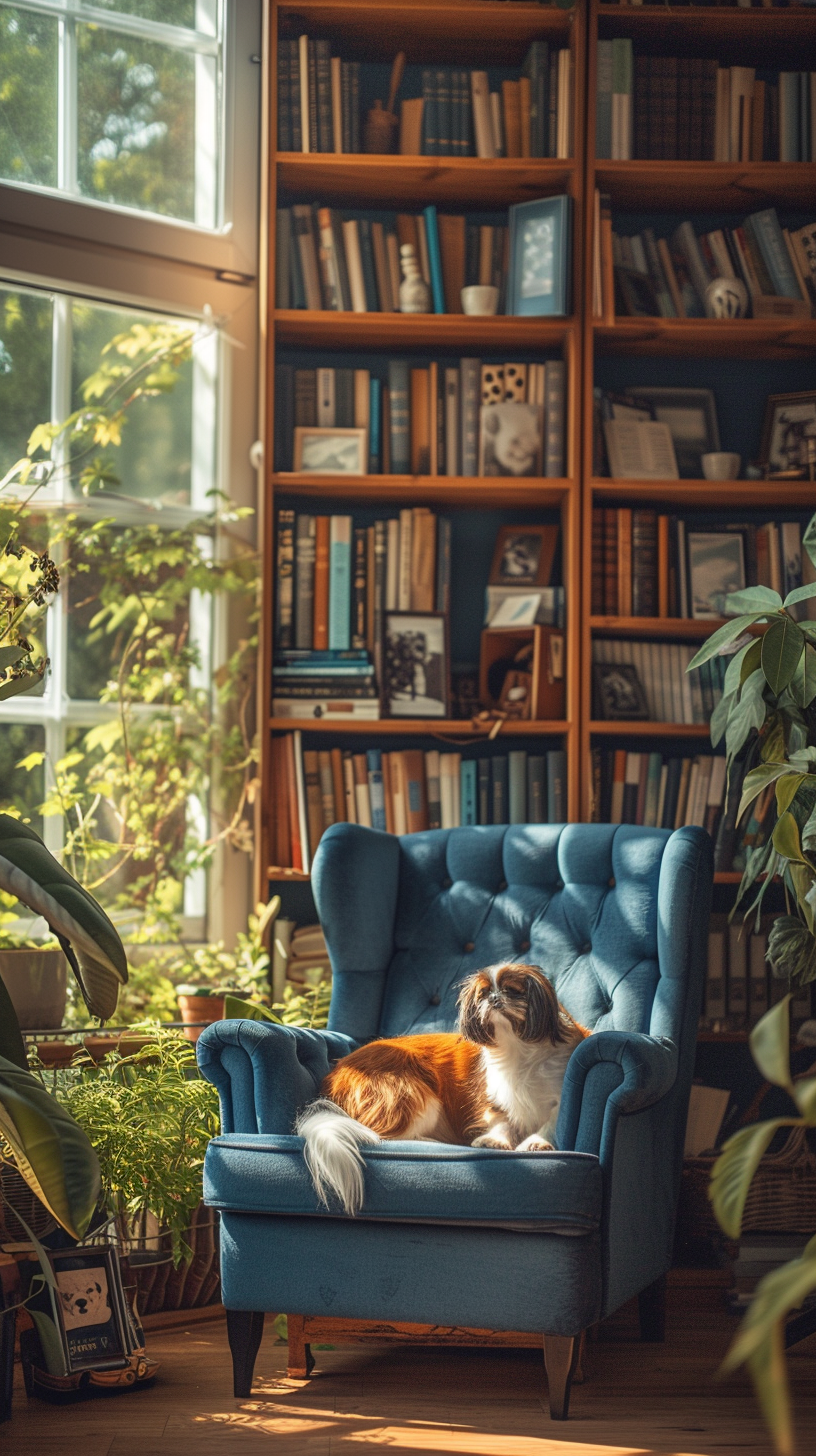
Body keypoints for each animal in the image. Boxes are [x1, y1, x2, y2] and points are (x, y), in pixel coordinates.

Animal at [295, 966, 588, 1217]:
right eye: (483, 994)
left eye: (513, 991)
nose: (493, 999)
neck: (517, 1046)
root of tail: (339, 1073)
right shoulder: (493, 1096)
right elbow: (501, 1120)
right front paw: (494, 1141)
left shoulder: (558, 1095)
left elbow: (552, 1120)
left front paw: (536, 1142)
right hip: (415, 1096)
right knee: (384, 1133)